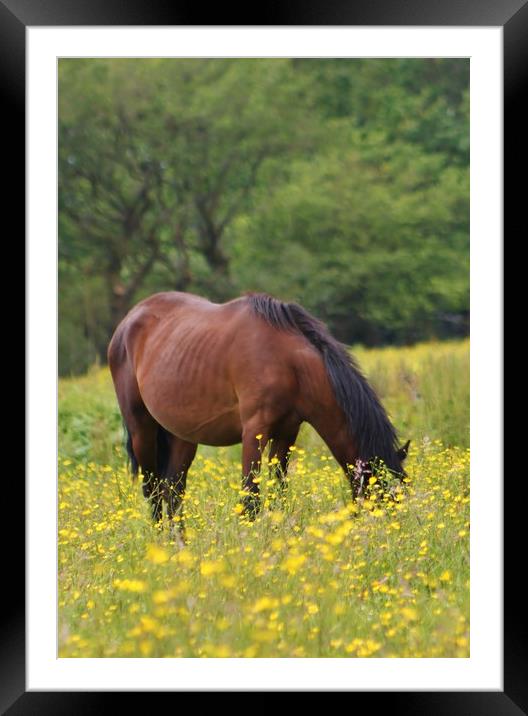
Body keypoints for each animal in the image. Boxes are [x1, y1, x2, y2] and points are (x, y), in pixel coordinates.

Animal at [109, 290, 410, 536]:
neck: (289, 364)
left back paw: (179, 542)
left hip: (182, 435)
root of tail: (129, 319)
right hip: (142, 429)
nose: (390, 539)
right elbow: (251, 498)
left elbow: (279, 493)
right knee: (152, 489)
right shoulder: (254, 430)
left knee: (173, 489)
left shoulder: (287, 432)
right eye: (383, 497)